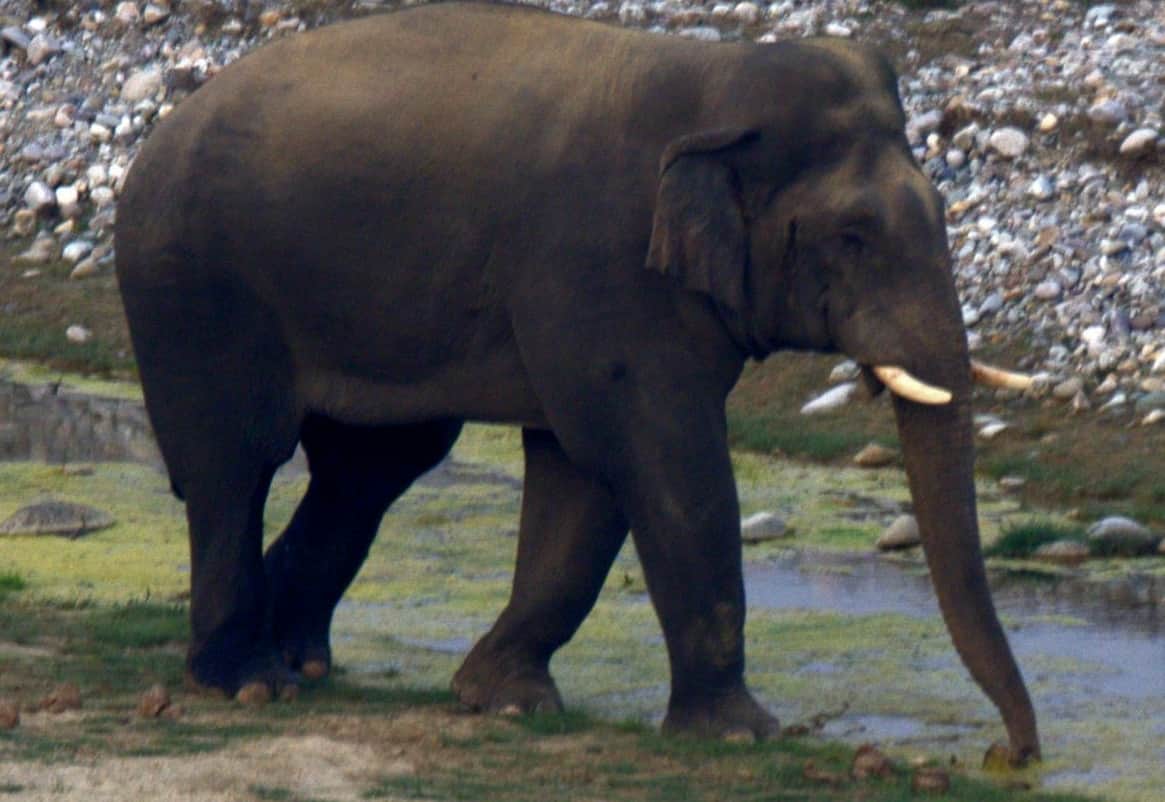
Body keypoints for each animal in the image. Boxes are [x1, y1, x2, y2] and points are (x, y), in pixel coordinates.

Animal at [115, 1, 1040, 763]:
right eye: (851, 236)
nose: (1010, 755)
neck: (714, 82)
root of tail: (157, 133)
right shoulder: (599, 264)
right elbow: (661, 461)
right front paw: (741, 735)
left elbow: (581, 475)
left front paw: (503, 700)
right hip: (194, 289)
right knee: (235, 465)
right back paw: (248, 680)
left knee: (370, 469)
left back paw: (302, 659)